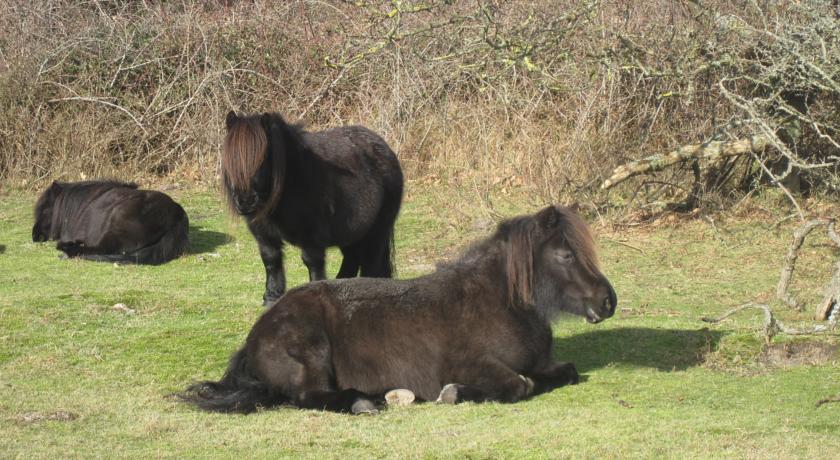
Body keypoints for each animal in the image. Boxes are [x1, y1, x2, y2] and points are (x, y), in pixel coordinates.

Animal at [182, 205, 616, 414]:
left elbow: (565, 372)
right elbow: (519, 386)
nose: (608, 301)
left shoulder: (545, 363)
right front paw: (452, 393)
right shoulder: (472, 364)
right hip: (311, 355)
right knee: (308, 396)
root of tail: (257, 334)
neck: (495, 303)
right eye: (565, 254)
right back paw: (366, 402)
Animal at [221, 111, 406, 306]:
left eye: (262, 159)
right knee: (352, 258)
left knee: (371, 261)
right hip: (351, 233)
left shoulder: (312, 237)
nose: (245, 201)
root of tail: (385, 149)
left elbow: (312, 262)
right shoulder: (264, 235)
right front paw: (271, 297)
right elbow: (271, 260)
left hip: (377, 230)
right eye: (231, 158)